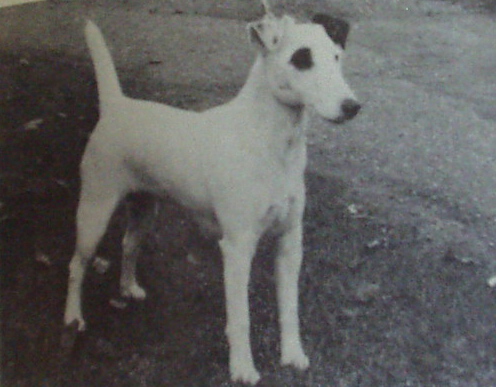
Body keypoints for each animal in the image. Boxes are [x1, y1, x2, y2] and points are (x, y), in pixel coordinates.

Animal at [64, 6, 360, 384]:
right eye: (302, 58)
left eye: (337, 57)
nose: (352, 106)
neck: (271, 141)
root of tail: (117, 106)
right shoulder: (237, 247)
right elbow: (241, 317)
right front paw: (243, 368)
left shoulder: (290, 241)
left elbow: (289, 307)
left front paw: (293, 354)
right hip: (94, 211)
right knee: (77, 265)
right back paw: (73, 318)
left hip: (145, 208)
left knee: (129, 245)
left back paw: (129, 288)